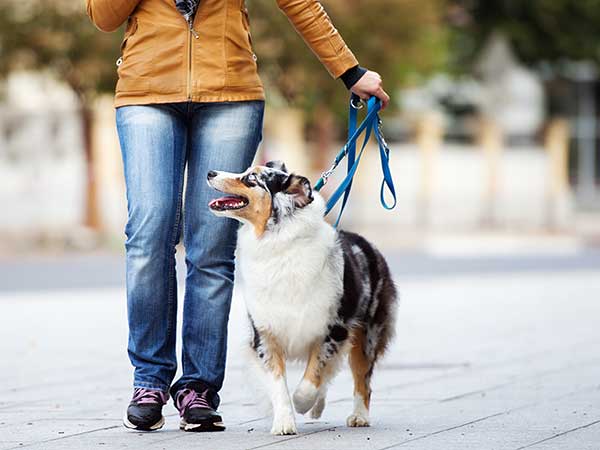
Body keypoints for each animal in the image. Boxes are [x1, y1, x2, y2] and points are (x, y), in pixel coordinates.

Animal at [207, 160, 398, 434]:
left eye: (251, 179)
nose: (211, 172)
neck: (276, 243)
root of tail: (368, 244)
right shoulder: (265, 334)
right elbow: (278, 384)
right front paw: (283, 422)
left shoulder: (332, 330)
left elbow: (311, 380)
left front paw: (301, 403)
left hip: (367, 334)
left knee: (363, 380)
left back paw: (358, 416)